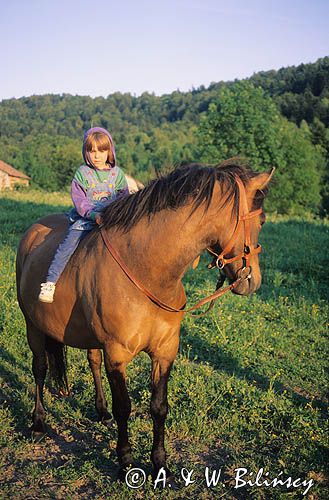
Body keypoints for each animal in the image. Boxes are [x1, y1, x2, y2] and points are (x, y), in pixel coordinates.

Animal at [15, 160, 272, 480]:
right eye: (261, 221)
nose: (253, 281)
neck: (146, 270)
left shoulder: (164, 351)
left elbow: (159, 406)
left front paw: (159, 463)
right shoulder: (117, 354)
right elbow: (124, 407)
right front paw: (125, 460)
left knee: (92, 362)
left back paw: (100, 412)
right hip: (33, 326)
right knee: (39, 369)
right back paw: (38, 422)